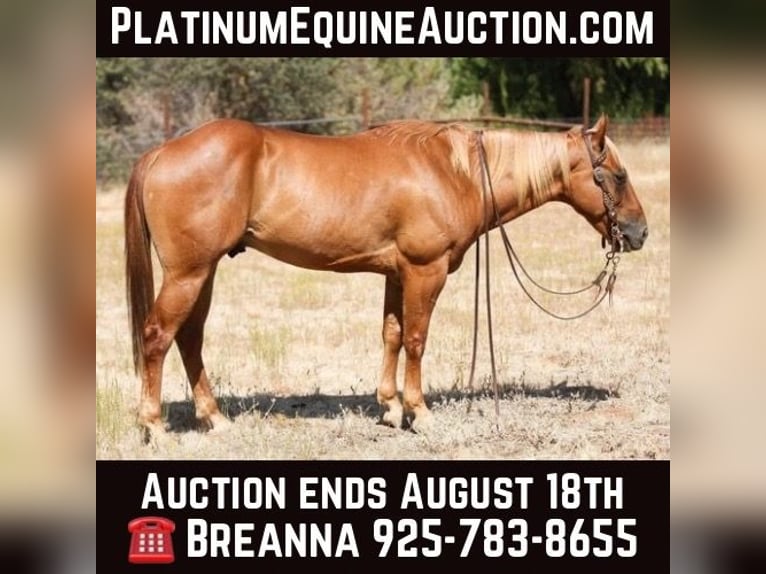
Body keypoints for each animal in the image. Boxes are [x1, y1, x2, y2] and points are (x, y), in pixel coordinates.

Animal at [124, 114, 647, 437]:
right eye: (618, 176)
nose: (639, 232)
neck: (455, 172)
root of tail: (161, 152)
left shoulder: (397, 275)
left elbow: (392, 334)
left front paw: (391, 408)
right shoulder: (425, 271)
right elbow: (416, 339)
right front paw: (420, 412)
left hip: (204, 272)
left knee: (189, 338)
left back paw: (215, 419)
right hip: (189, 273)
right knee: (157, 336)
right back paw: (154, 425)